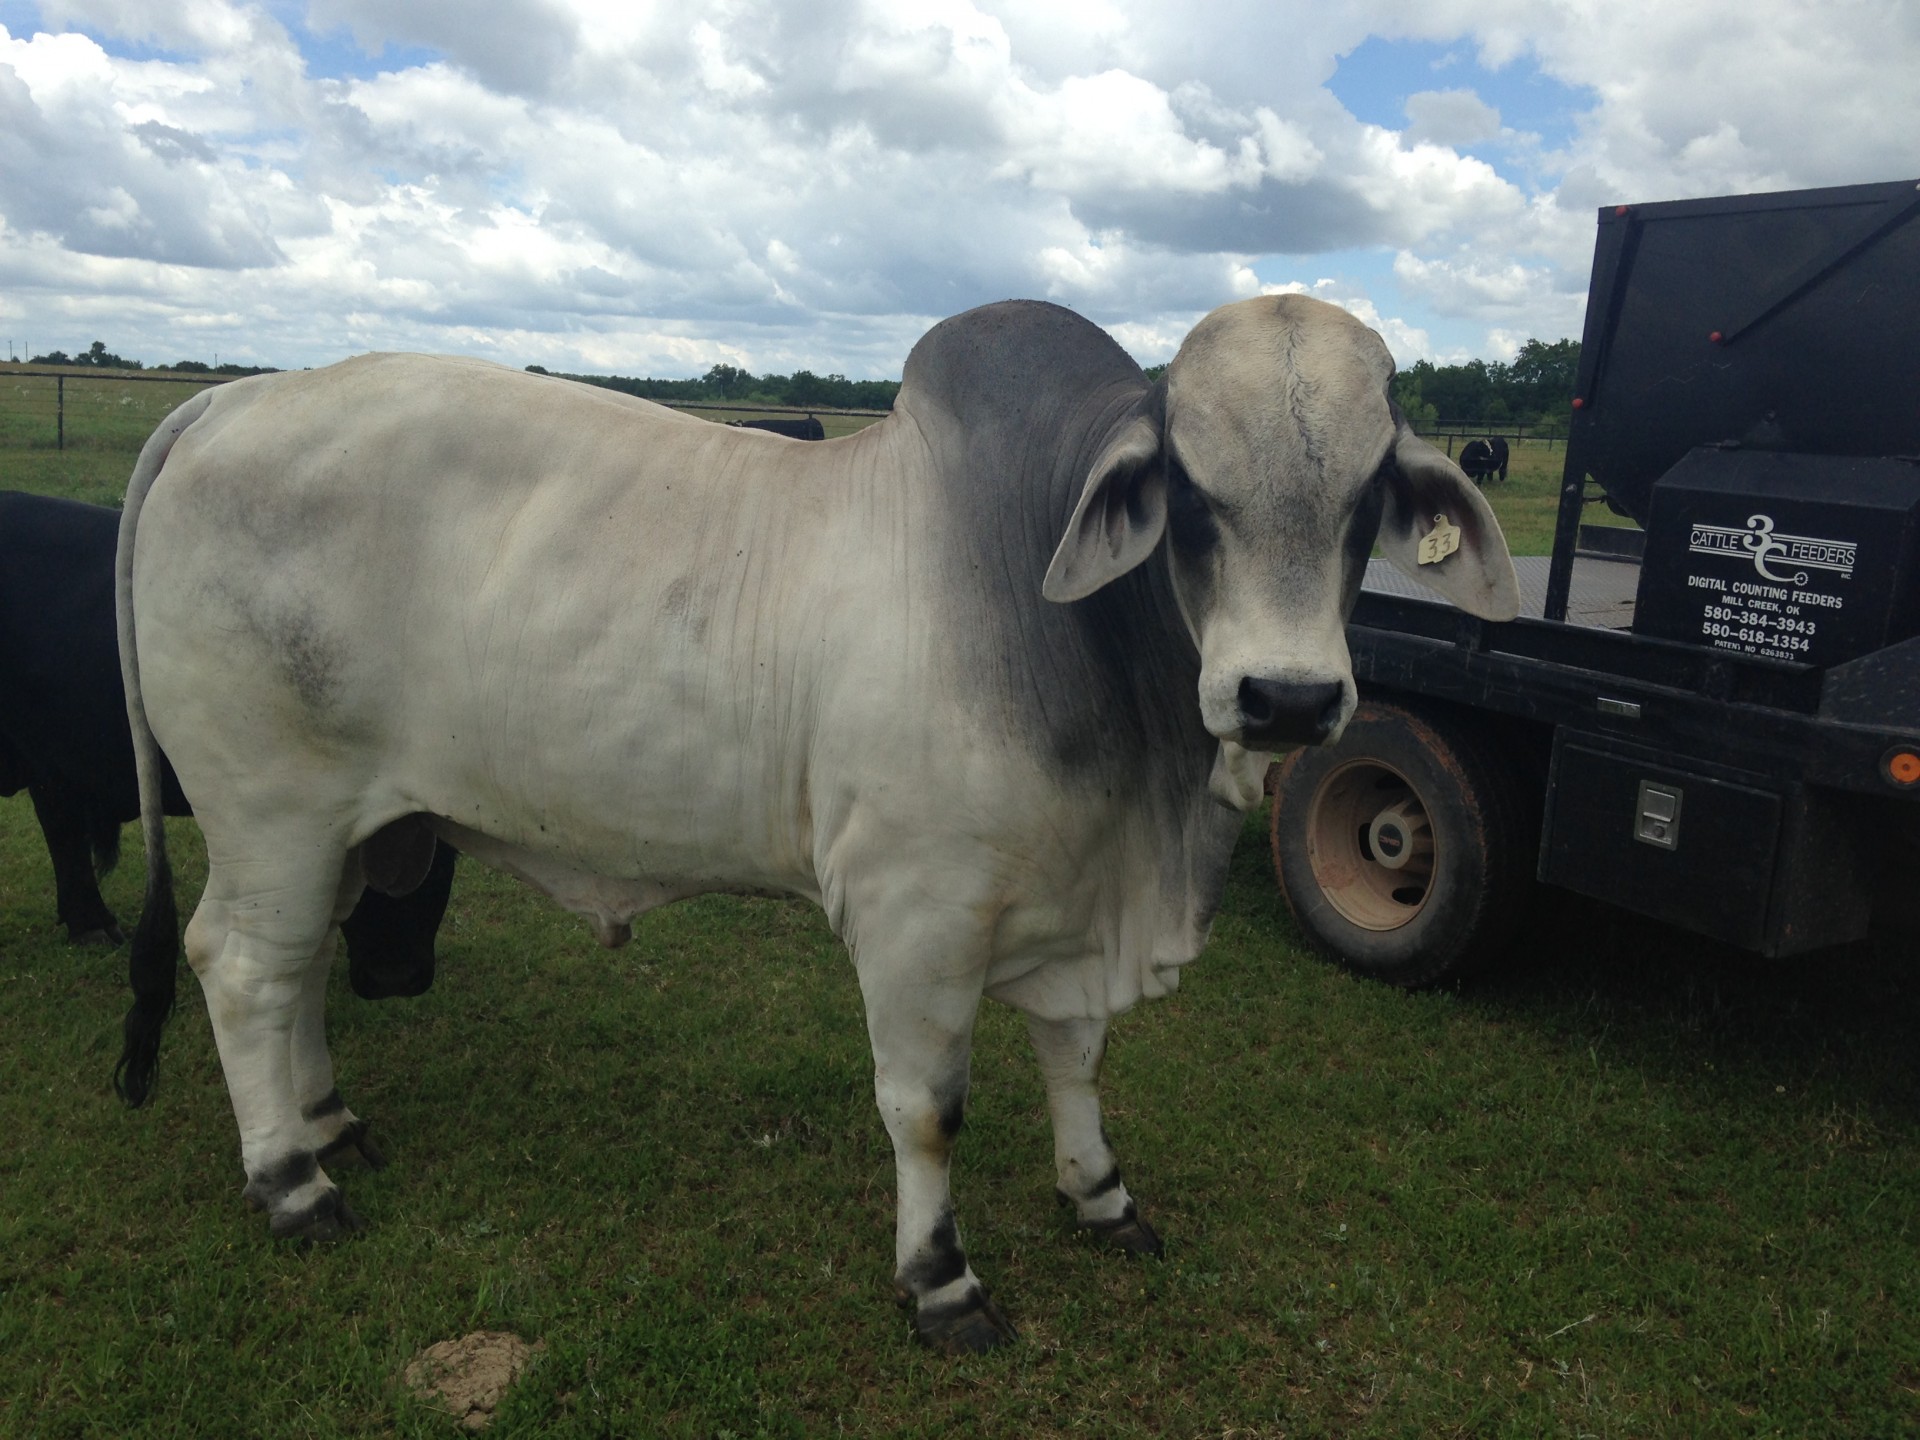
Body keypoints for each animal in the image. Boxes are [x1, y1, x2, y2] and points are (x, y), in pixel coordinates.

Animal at [112, 293, 1512, 1351]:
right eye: (1195, 495)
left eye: (1367, 500)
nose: (1288, 698)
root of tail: (230, 398)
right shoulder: (917, 914)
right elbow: (928, 1109)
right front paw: (941, 1282)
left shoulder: (1072, 897)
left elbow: (1078, 1059)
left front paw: (1102, 1197)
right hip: (273, 811)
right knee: (241, 967)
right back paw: (292, 1182)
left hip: (341, 828)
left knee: (297, 969)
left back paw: (325, 1121)